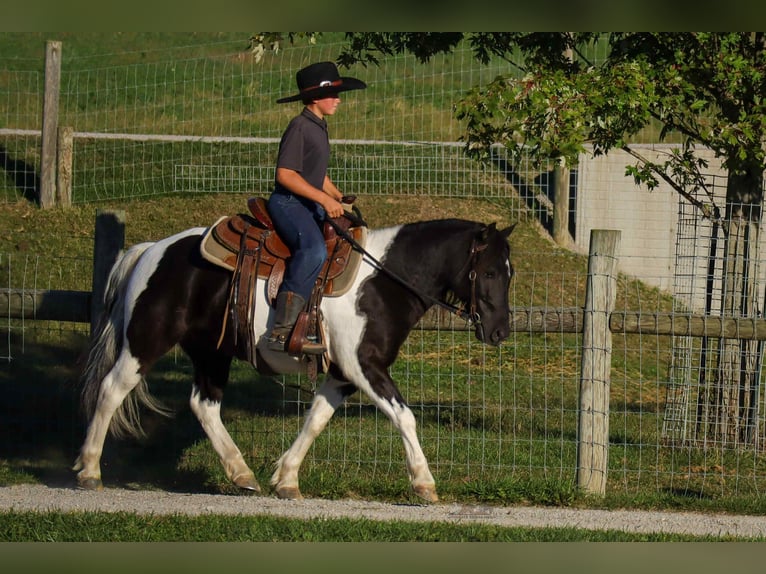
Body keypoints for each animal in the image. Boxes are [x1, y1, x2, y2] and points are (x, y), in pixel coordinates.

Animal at [72, 213, 515, 502]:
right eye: (490, 272)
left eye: (508, 272)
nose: (500, 332)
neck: (383, 281)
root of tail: (151, 250)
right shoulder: (365, 367)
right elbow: (404, 416)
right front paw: (424, 483)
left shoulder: (342, 374)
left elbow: (315, 419)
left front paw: (286, 478)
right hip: (145, 341)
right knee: (111, 390)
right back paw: (90, 469)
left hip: (212, 352)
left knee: (205, 405)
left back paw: (242, 473)